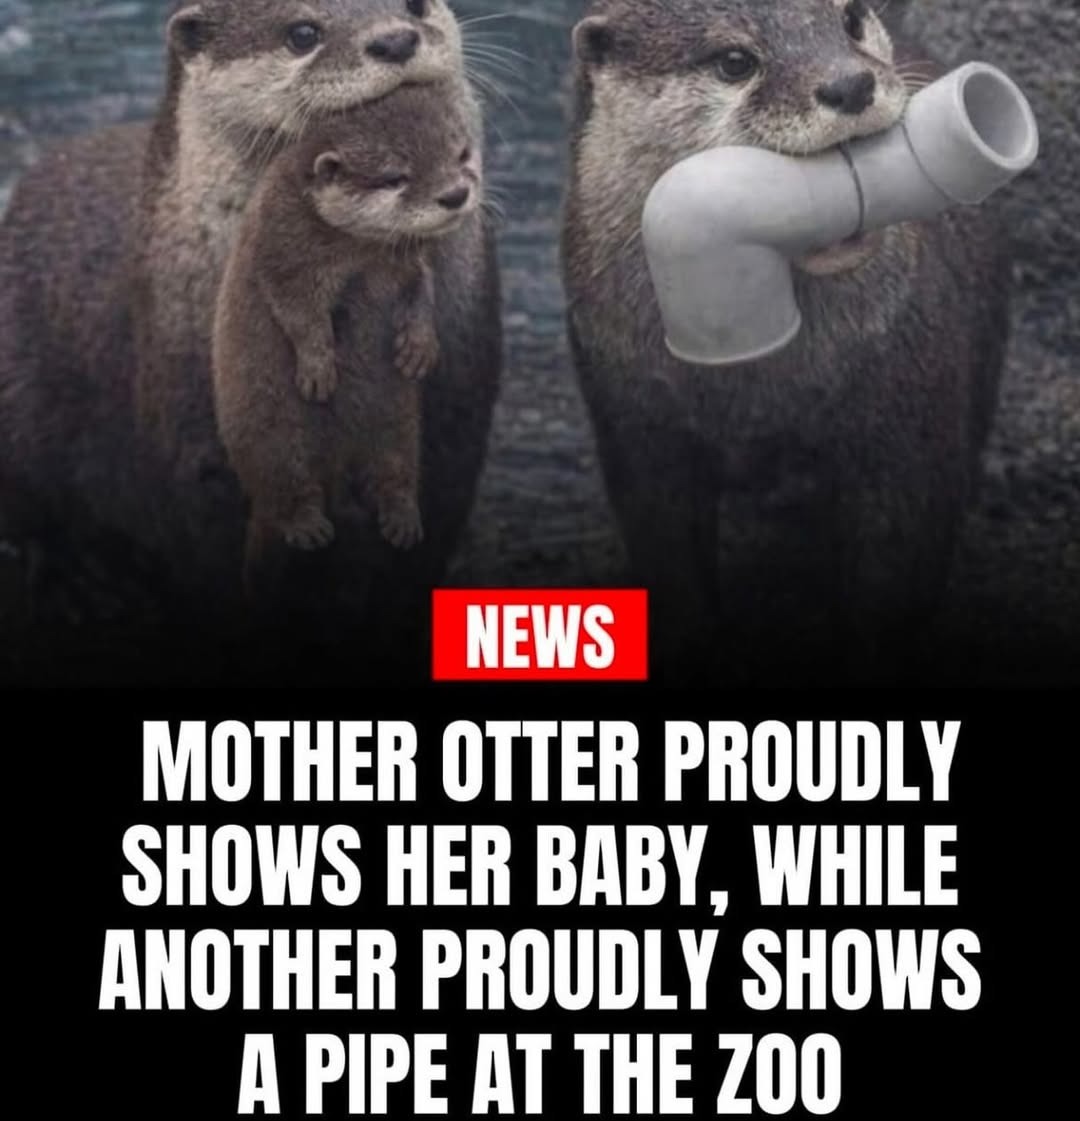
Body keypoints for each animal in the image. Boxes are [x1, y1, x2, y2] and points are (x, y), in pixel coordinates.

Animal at [213, 87, 481, 576]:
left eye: (462, 154)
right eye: (395, 177)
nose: (455, 194)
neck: (355, 251)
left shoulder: (409, 262)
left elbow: (422, 290)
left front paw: (420, 347)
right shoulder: (281, 251)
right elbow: (299, 312)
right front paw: (318, 369)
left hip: (396, 424)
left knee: (393, 470)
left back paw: (402, 520)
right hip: (269, 431)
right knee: (284, 484)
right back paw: (306, 525)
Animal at [562, 0, 1009, 682]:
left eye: (850, 18)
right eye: (734, 61)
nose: (850, 84)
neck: (760, 388)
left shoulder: (914, 410)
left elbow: (896, 573)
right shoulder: (632, 418)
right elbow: (669, 559)